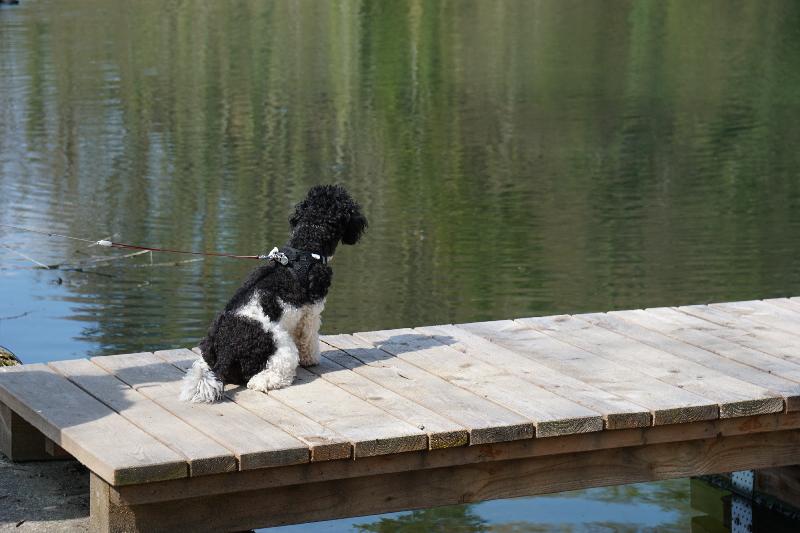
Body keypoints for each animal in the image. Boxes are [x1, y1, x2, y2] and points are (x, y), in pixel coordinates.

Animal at [180, 184, 367, 403]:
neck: (306, 247)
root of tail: (228, 349)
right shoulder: (311, 313)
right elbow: (309, 339)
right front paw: (311, 359)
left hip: (207, 349)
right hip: (283, 348)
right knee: (263, 378)